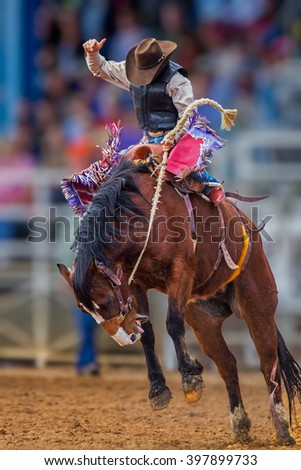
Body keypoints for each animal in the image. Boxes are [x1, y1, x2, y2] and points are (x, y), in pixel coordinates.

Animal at [58, 160, 300, 446]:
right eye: (83, 309)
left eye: (105, 300)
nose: (124, 339)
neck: (144, 216)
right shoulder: (135, 283)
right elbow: (148, 334)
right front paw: (158, 388)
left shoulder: (180, 272)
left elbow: (172, 323)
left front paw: (190, 377)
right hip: (204, 321)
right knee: (228, 365)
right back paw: (240, 426)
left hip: (257, 307)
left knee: (267, 363)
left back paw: (282, 429)